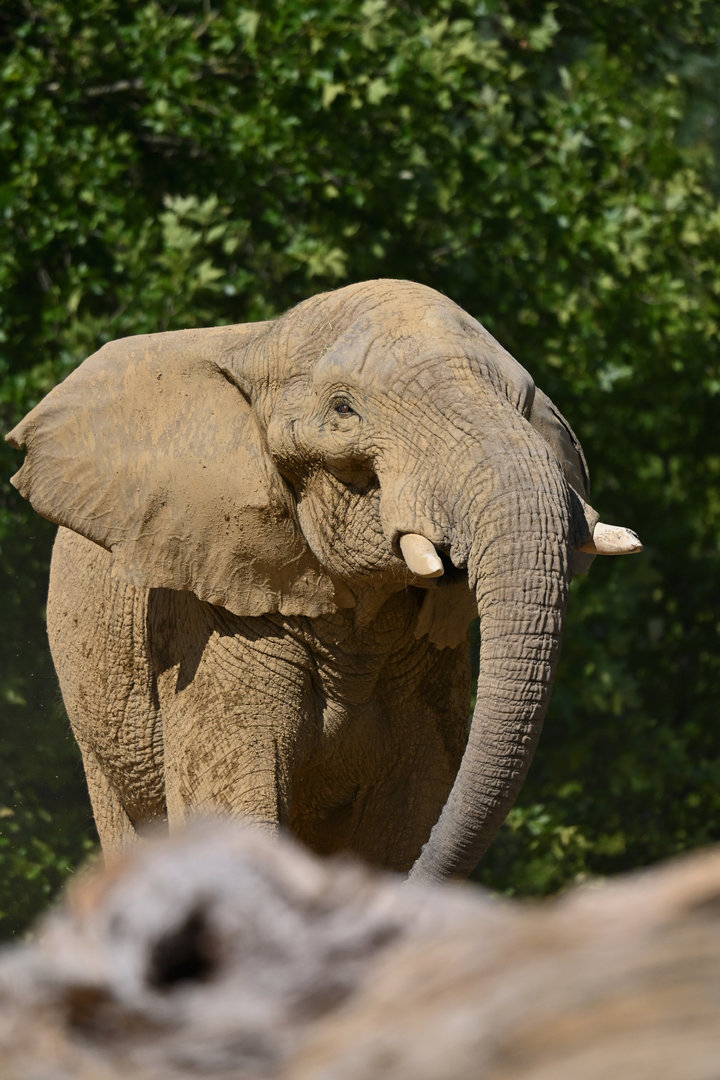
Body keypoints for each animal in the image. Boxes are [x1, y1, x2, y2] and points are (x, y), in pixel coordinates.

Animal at [7, 279, 641, 882]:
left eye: (524, 403)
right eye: (343, 410)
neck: (260, 342)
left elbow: (407, 819)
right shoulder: (207, 620)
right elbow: (233, 810)